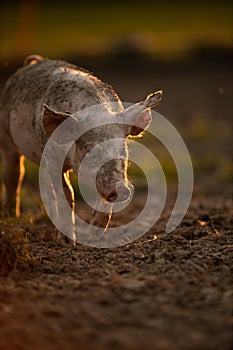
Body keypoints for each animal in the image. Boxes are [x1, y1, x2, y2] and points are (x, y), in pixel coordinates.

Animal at [0, 55, 162, 228]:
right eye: (90, 149)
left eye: (122, 148)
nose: (121, 189)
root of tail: (35, 61)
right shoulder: (53, 158)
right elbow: (67, 194)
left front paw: (96, 228)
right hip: (7, 138)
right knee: (14, 176)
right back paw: (12, 215)